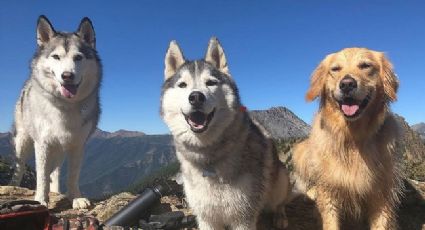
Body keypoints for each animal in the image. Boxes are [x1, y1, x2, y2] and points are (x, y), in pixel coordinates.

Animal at [11, 13, 101, 208]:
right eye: (56, 57)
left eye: (78, 57)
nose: (67, 76)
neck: (64, 107)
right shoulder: (42, 144)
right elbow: (42, 176)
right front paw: (41, 200)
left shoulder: (77, 145)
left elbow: (73, 175)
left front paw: (75, 197)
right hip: (23, 141)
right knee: (19, 167)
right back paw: (13, 186)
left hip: (59, 149)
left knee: (55, 172)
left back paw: (56, 192)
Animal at [160, 36, 292, 229]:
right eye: (182, 85)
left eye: (211, 83)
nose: (196, 97)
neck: (208, 158)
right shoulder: (206, 217)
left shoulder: (243, 217)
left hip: (280, 179)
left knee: (280, 202)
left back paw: (280, 217)